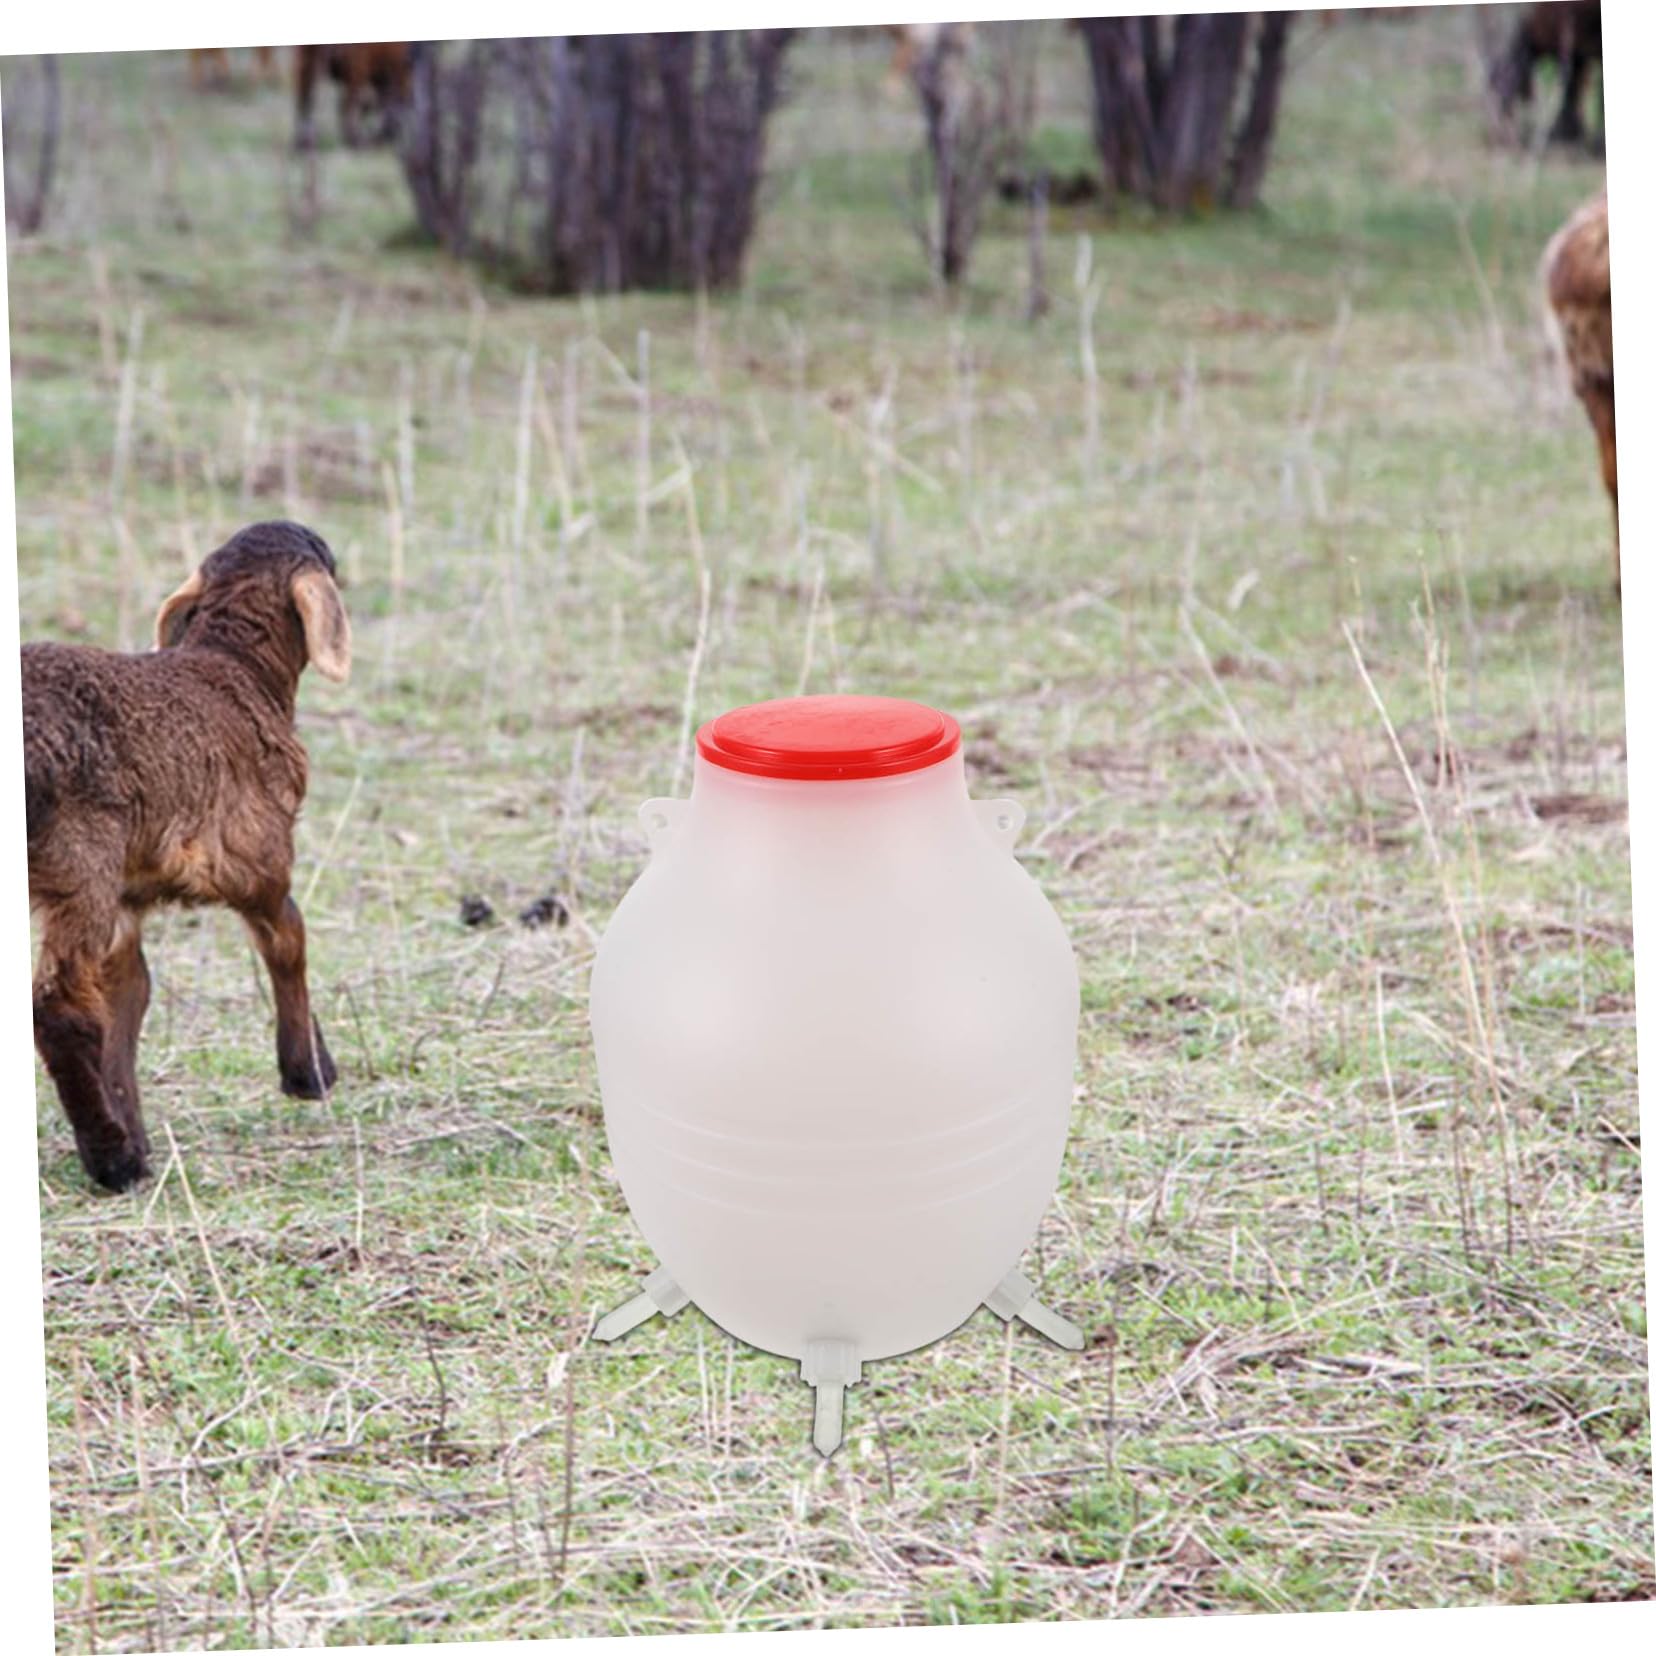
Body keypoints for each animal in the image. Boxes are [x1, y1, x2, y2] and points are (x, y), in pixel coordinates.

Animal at [25, 521, 351, 1192]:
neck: (235, 669)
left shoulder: (129, 895)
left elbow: (129, 994)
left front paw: (136, 1126)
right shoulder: (256, 855)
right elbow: (288, 937)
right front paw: (307, 1071)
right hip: (79, 860)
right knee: (59, 1010)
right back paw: (111, 1160)